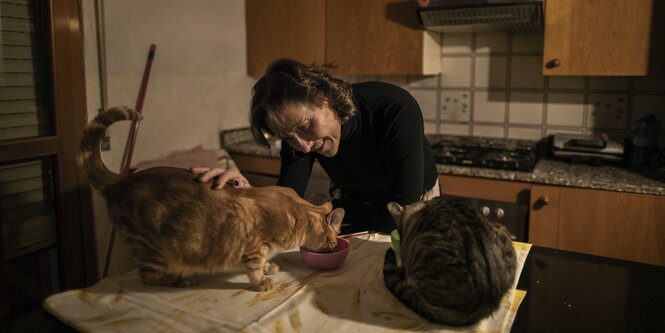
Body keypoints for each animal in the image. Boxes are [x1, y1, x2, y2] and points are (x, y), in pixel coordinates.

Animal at [79, 107, 342, 290]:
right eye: (333, 241)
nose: (332, 249)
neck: (296, 212)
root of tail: (119, 181)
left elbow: (263, 261)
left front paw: (269, 266)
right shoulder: (254, 243)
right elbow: (254, 266)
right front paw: (261, 281)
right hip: (155, 250)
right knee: (149, 276)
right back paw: (181, 280)